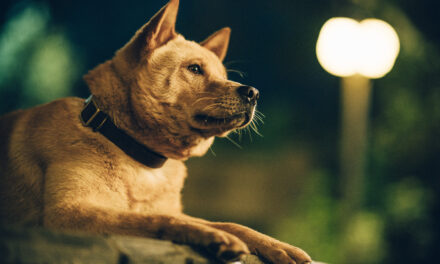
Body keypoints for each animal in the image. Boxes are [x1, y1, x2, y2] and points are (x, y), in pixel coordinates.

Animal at [0, 1, 312, 262]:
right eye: (195, 69)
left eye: (223, 75)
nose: (253, 93)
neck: (132, 150)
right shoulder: (68, 214)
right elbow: (157, 220)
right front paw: (214, 237)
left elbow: (229, 222)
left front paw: (277, 246)